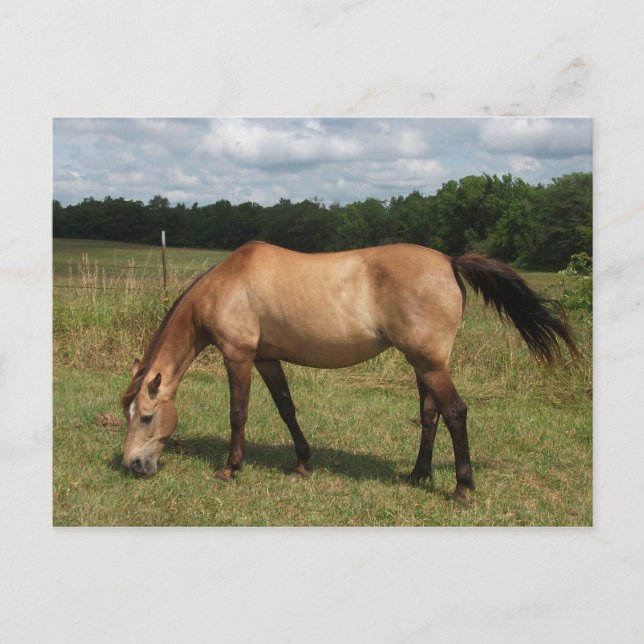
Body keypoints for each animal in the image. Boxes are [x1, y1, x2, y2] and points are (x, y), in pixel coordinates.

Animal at [121, 241, 578, 505]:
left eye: (146, 416)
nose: (133, 465)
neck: (226, 285)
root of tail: (449, 261)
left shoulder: (239, 357)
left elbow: (238, 414)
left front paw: (230, 468)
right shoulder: (267, 359)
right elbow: (287, 409)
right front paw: (302, 462)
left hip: (431, 364)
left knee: (455, 413)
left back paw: (462, 489)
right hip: (421, 363)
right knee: (429, 415)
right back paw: (418, 475)